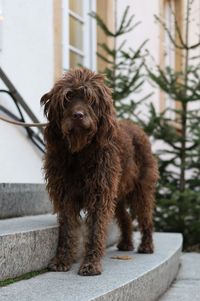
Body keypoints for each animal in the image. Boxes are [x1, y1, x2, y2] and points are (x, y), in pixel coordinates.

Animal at [41, 67, 159, 274]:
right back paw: (126, 243)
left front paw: (91, 263)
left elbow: (96, 229)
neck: (80, 152)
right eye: (68, 97)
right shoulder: (65, 195)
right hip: (117, 192)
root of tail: (137, 128)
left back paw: (146, 245)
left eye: (90, 99)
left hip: (141, 189)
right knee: (126, 217)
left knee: (145, 217)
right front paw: (62, 259)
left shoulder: (99, 193)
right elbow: (67, 228)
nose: (78, 115)